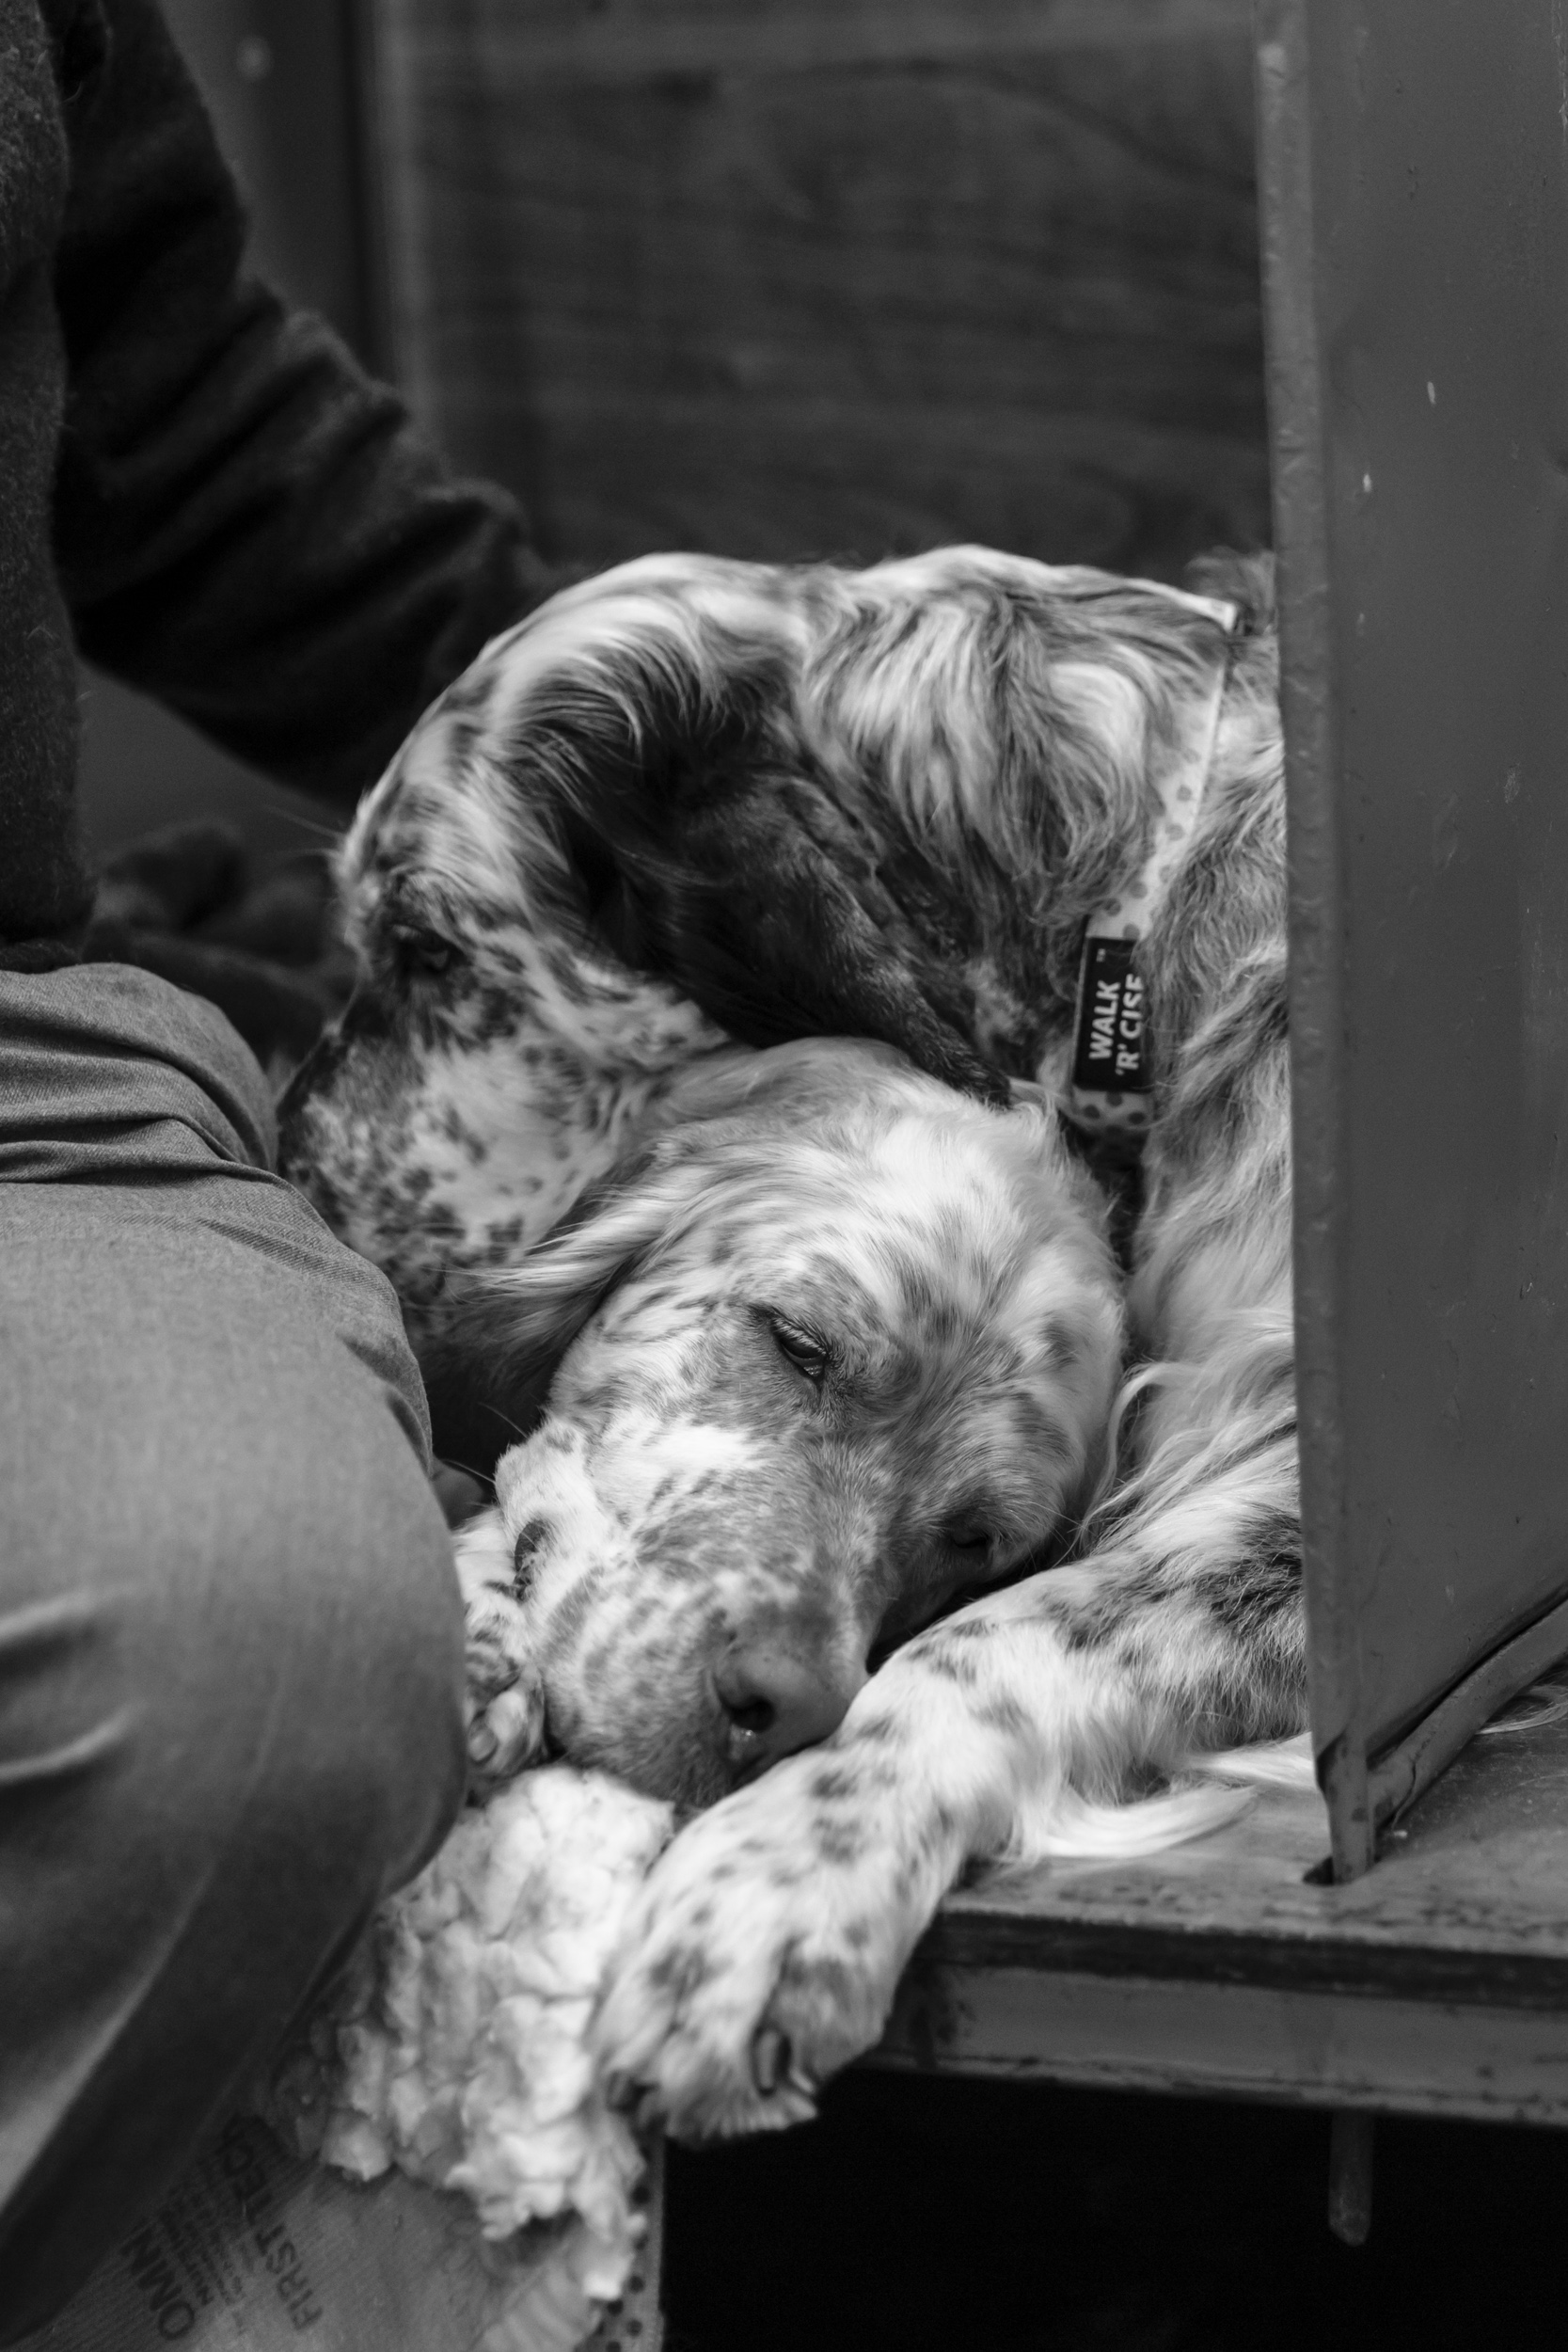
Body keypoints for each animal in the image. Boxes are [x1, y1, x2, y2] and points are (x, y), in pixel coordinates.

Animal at [278, 546, 1297, 2136]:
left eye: (428, 951)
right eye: (794, 1345)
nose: (284, 1158)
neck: (1135, 924)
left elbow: (993, 1641)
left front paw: (772, 1896)